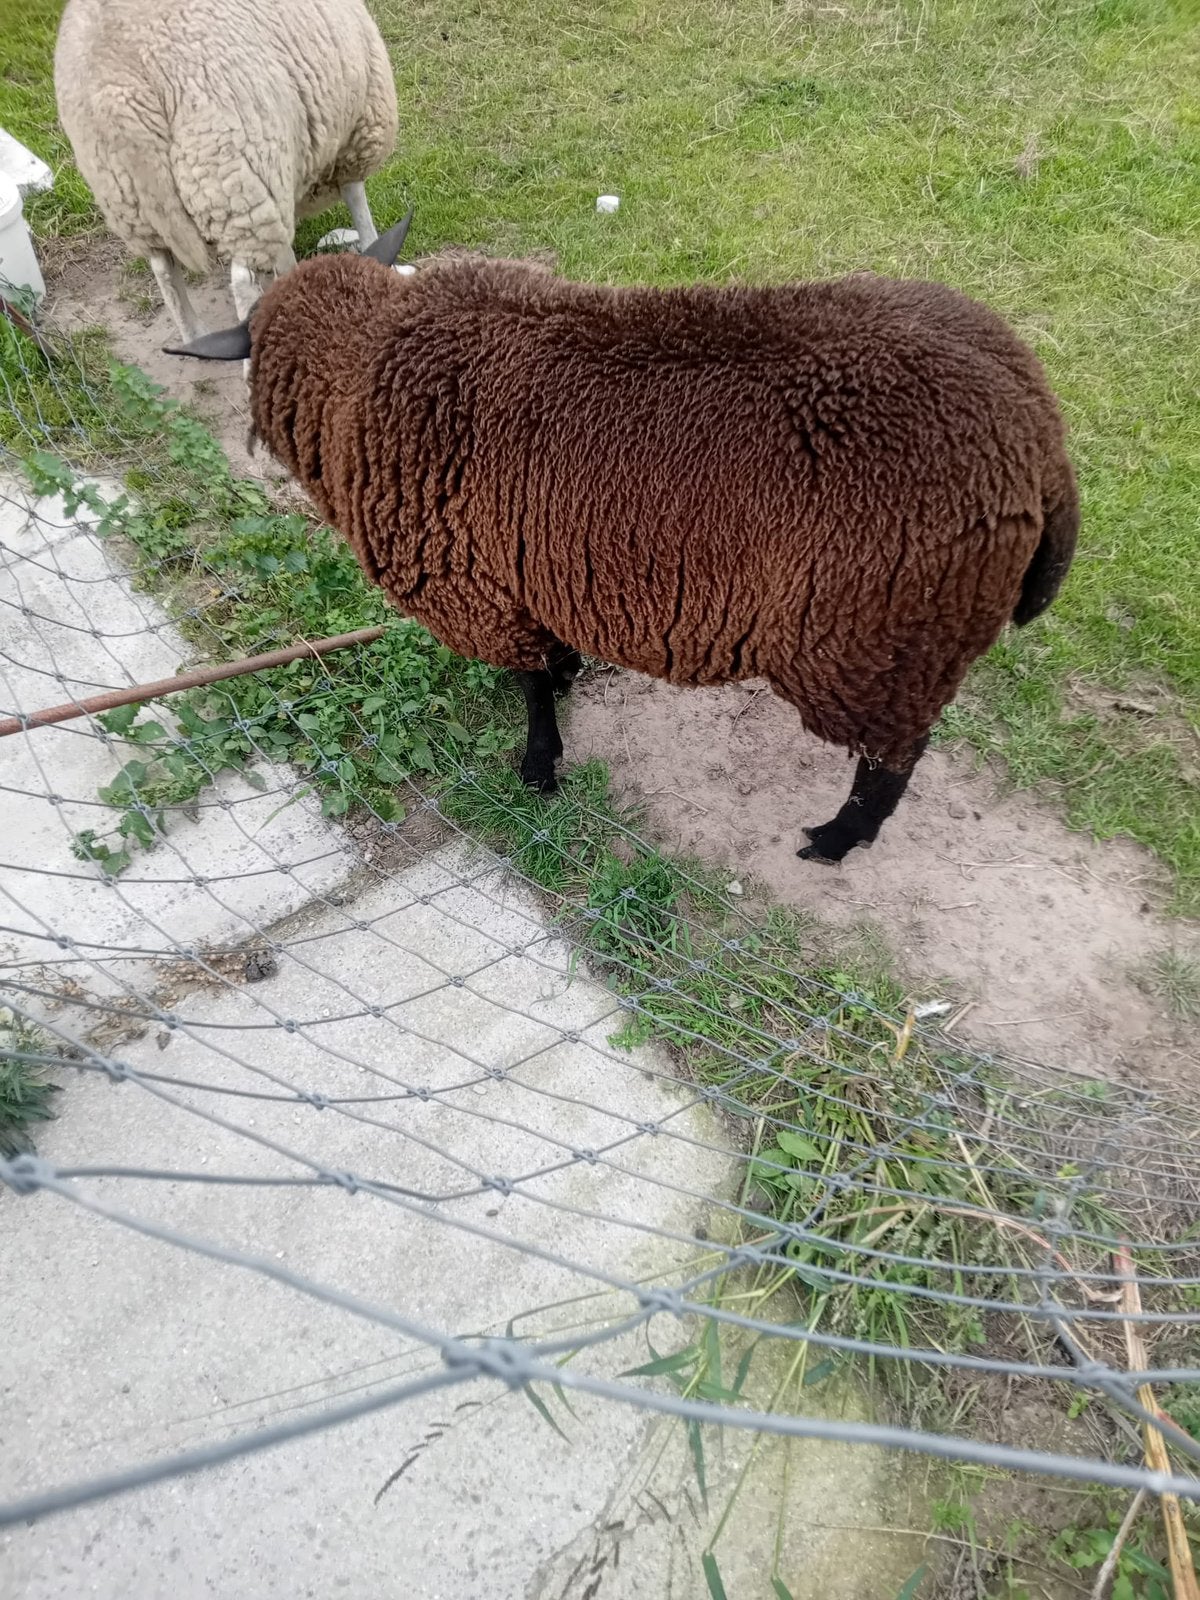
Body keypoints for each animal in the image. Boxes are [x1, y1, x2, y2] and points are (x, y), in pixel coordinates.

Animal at [54, 0, 399, 344]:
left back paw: (195, 335)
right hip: (231, 171)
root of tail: (118, 93)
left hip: (130, 202)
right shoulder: (358, 132)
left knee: (164, 269)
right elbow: (357, 201)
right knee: (243, 279)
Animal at [166, 225, 1079, 864]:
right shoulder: (525, 575)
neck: (364, 364)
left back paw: (836, 839)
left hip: (877, 645)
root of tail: (1038, 434)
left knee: (896, 756)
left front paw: (538, 769)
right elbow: (548, 661)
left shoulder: (479, 587)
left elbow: (530, 686)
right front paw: (567, 687)